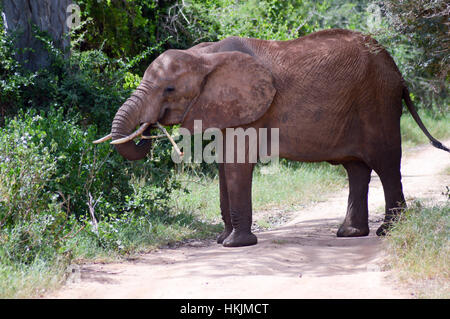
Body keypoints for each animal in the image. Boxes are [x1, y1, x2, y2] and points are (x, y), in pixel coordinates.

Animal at [93, 28, 448, 248]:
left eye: (169, 89)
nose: (149, 129)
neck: (205, 55)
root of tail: (398, 72)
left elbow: (236, 166)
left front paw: (235, 245)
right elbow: (223, 167)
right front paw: (223, 241)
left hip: (377, 101)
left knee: (385, 163)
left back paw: (387, 231)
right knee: (356, 168)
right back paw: (350, 234)